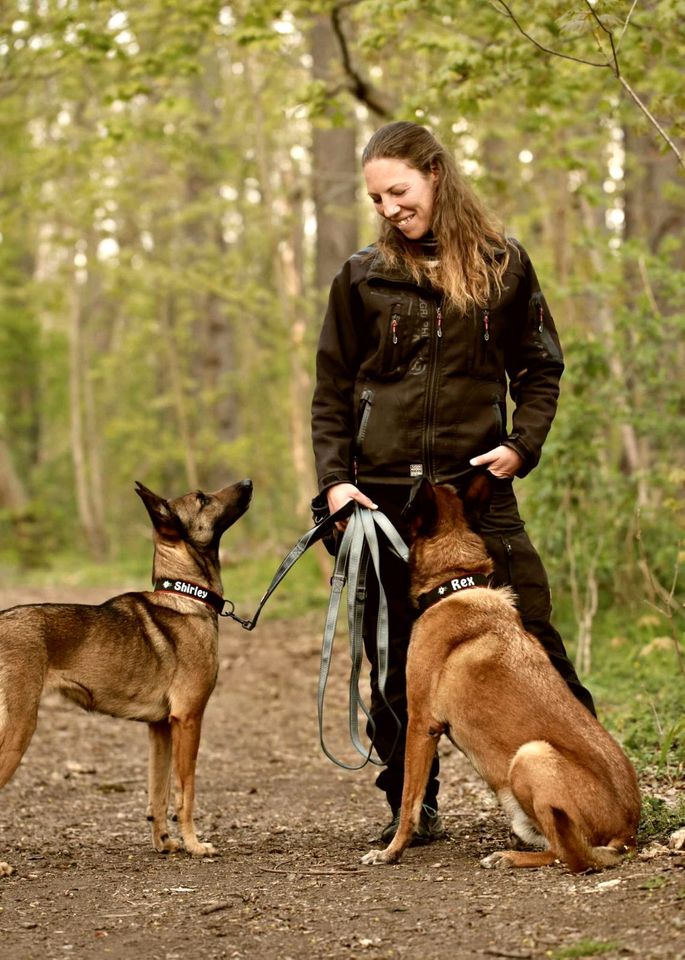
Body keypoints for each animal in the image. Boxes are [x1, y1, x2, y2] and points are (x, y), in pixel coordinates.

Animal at [0, 476, 251, 872]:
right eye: (202, 499)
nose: (248, 481)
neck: (186, 596)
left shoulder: (160, 728)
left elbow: (158, 793)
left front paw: (165, 843)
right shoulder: (188, 720)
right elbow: (186, 793)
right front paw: (195, 844)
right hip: (19, 726)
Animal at [364, 478, 640, 872]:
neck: (456, 582)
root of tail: (629, 833)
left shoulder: (420, 723)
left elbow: (409, 800)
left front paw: (392, 851)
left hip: (531, 756)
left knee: (564, 853)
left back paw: (508, 856)